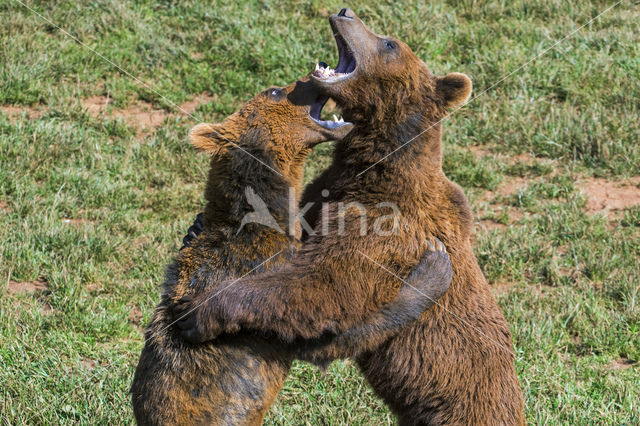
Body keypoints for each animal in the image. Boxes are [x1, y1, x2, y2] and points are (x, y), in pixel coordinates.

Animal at [175, 8, 524, 424]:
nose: (345, 13)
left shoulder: (385, 229)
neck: (372, 169)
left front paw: (199, 310)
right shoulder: (328, 192)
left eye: (389, 43)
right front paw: (197, 227)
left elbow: (323, 285)